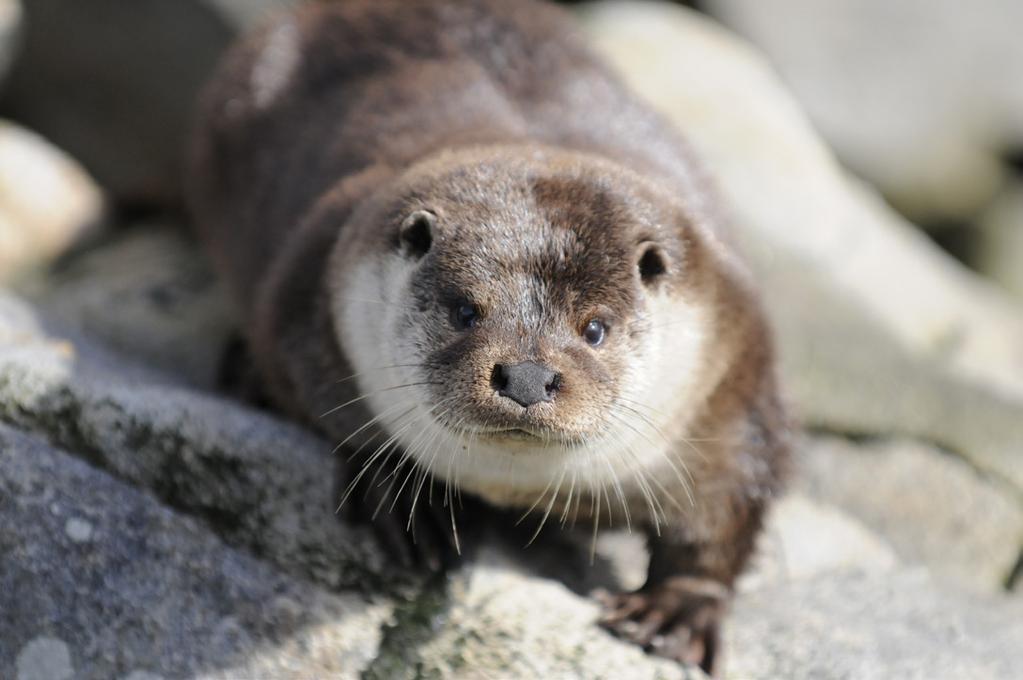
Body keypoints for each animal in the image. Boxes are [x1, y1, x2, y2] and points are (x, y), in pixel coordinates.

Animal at [188, 0, 785, 666]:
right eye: (464, 312)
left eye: (595, 328)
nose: (526, 376)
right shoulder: (307, 293)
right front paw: (407, 497)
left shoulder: (732, 376)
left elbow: (727, 508)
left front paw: (675, 610)